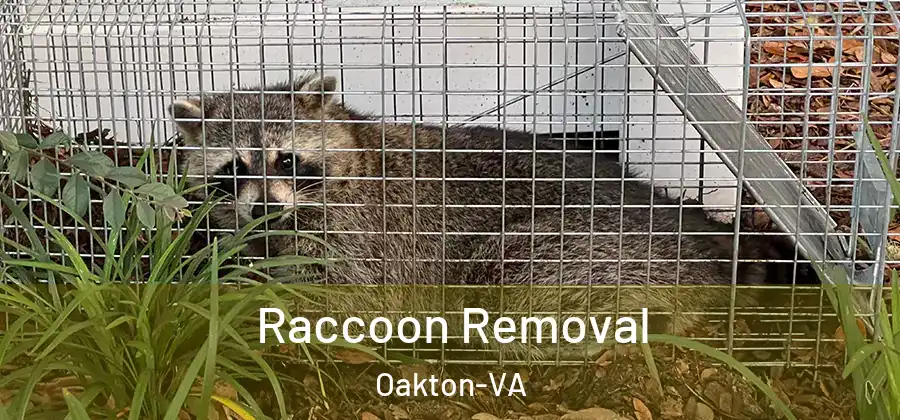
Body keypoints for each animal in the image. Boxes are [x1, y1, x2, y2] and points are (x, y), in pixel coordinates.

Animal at [169, 74, 807, 355]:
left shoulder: (367, 234)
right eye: (234, 169)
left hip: (583, 248)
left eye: (287, 159)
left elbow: (350, 298)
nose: (265, 206)